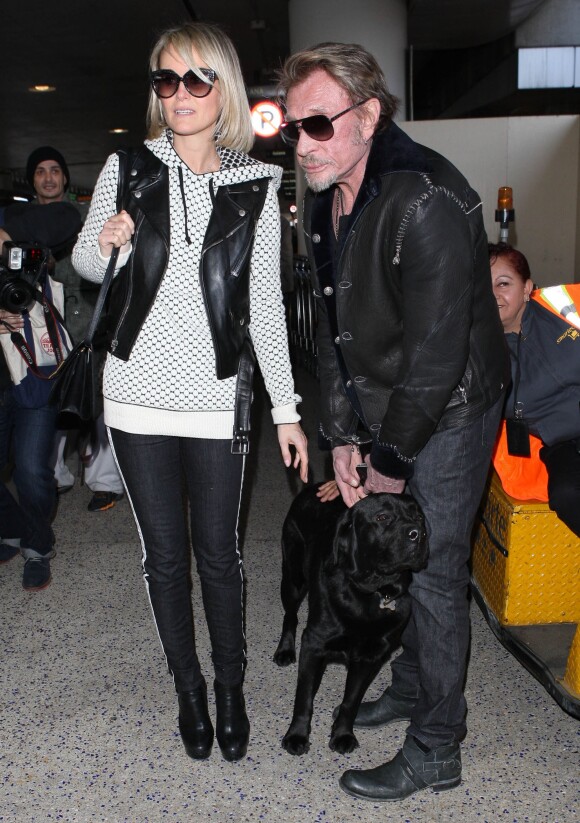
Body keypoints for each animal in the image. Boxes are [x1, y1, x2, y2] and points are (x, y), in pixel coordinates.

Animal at [274, 482, 428, 760]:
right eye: (382, 517)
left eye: (420, 517)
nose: (418, 534)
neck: (374, 591)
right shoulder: (313, 645)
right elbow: (303, 698)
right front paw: (297, 735)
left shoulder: (369, 658)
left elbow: (351, 701)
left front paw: (343, 734)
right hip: (293, 579)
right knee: (290, 616)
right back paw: (284, 650)